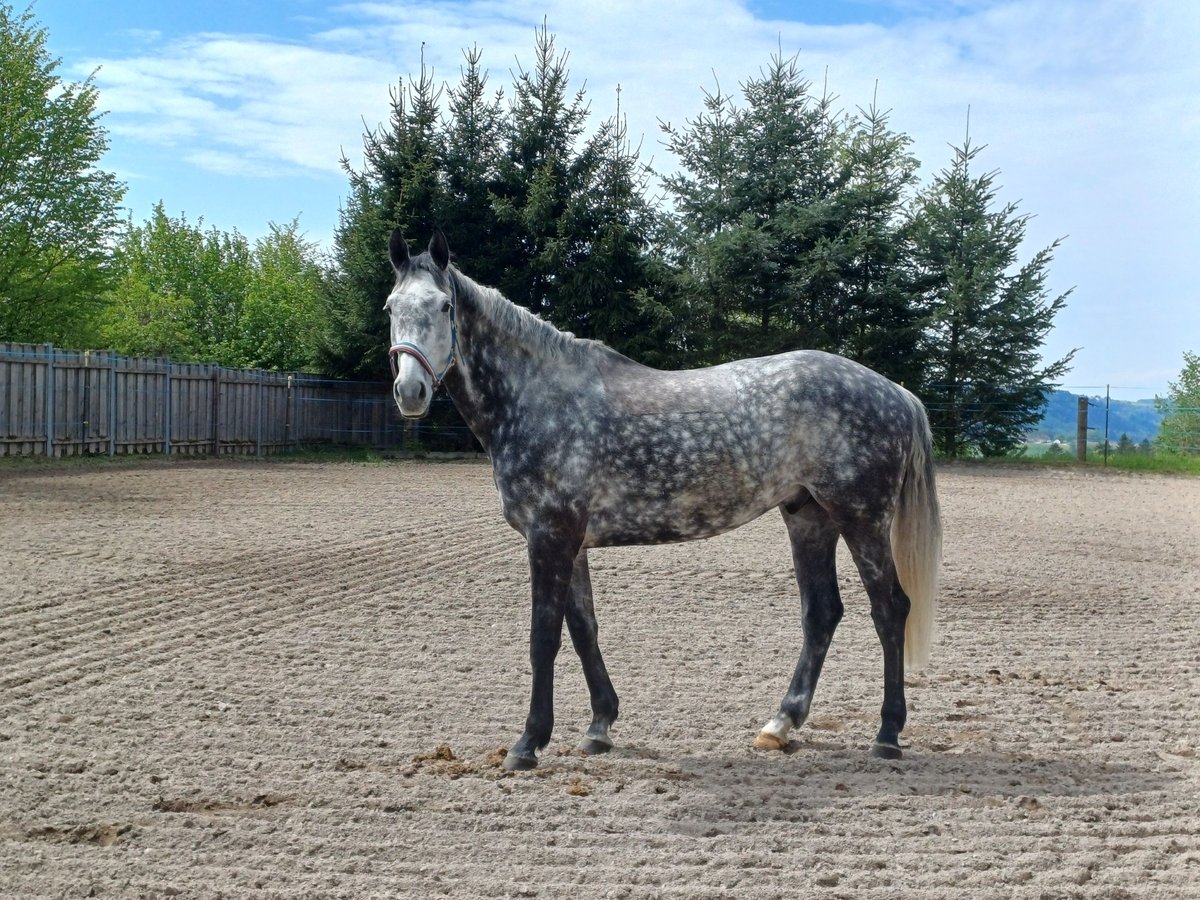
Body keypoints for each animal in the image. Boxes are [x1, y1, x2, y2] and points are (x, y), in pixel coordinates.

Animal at [384, 230, 942, 771]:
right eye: (391, 307)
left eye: (443, 307)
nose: (410, 392)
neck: (538, 398)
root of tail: (896, 392)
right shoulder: (572, 542)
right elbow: (583, 628)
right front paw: (600, 726)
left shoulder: (549, 536)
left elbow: (544, 637)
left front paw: (528, 744)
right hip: (809, 517)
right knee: (822, 613)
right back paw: (780, 725)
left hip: (861, 518)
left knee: (890, 608)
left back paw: (887, 735)